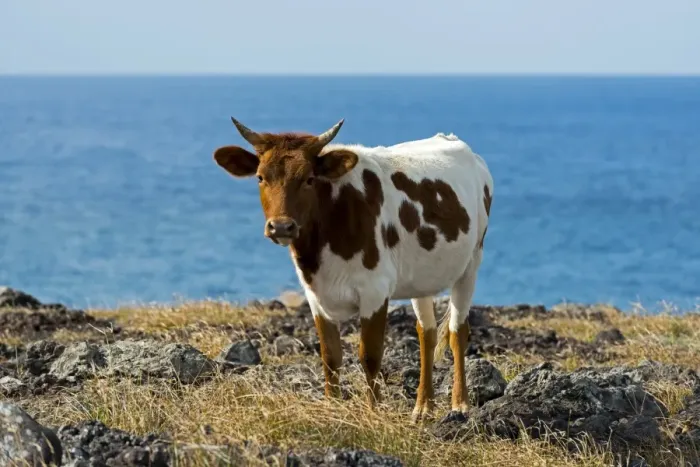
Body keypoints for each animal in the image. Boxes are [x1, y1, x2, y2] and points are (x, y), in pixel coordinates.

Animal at [213, 118, 493, 422]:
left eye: (309, 179)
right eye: (261, 177)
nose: (281, 226)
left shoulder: (375, 290)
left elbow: (369, 356)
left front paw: (373, 412)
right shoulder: (315, 296)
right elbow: (330, 356)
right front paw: (331, 406)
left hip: (472, 263)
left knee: (457, 331)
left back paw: (460, 404)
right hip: (422, 278)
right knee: (427, 332)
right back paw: (423, 407)